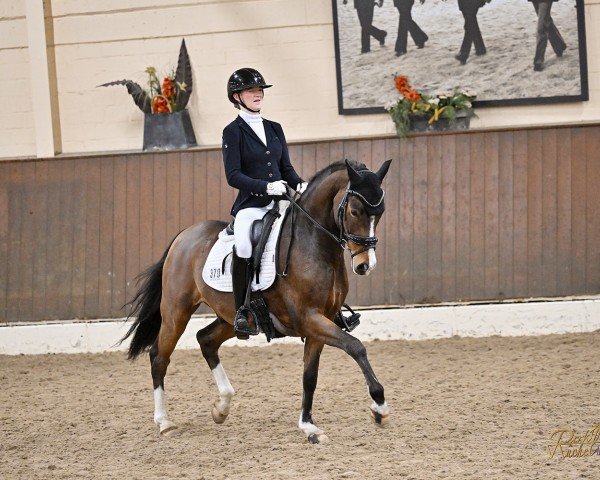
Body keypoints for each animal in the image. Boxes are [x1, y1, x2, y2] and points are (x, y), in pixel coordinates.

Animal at [122, 158, 394, 442]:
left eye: (380, 212)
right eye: (354, 211)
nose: (365, 265)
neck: (314, 245)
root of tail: (184, 235)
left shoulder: (322, 321)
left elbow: (310, 376)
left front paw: (308, 426)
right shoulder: (309, 318)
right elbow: (355, 347)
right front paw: (379, 406)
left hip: (232, 318)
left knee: (206, 340)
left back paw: (222, 407)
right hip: (177, 311)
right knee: (159, 356)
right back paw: (164, 422)